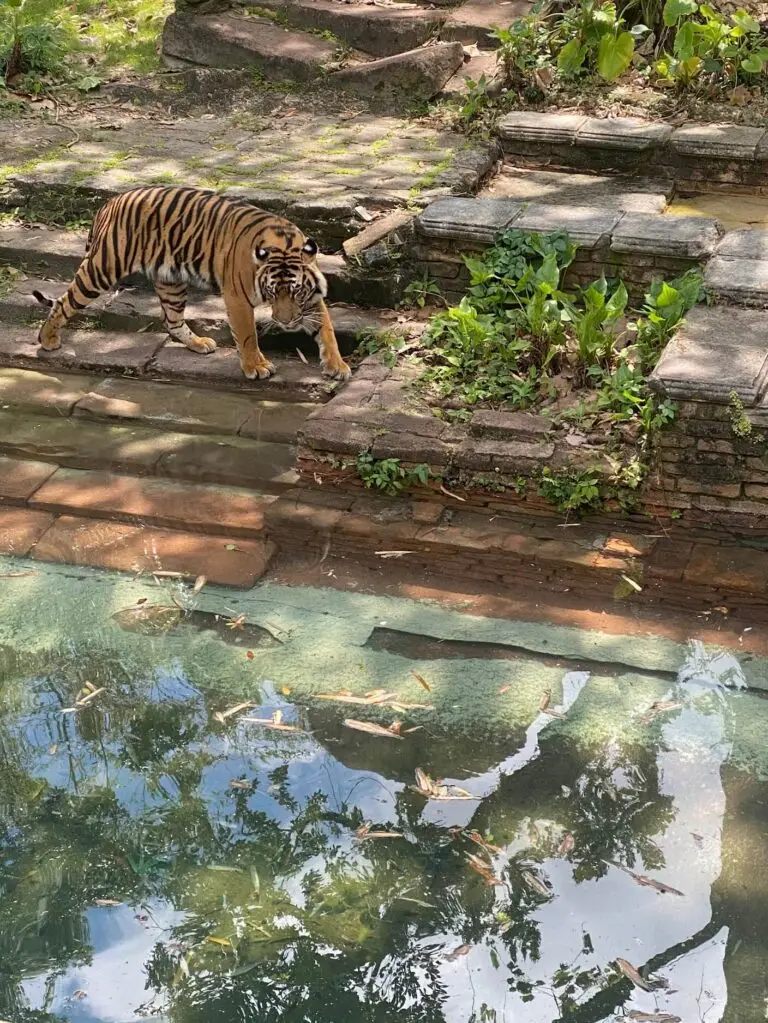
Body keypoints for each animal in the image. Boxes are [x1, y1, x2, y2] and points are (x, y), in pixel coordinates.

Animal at [32, 185, 352, 383]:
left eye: (296, 291)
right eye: (272, 292)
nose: (285, 323)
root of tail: (110, 202)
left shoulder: (311, 298)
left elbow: (327, 331)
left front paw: (337, 366)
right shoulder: (237, 297)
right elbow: (247, 335)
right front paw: (256, 367)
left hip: (170, 281)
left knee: (171, 320)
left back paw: (199, 343)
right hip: (103, 268)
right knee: (64, 302)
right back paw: (47, 339)